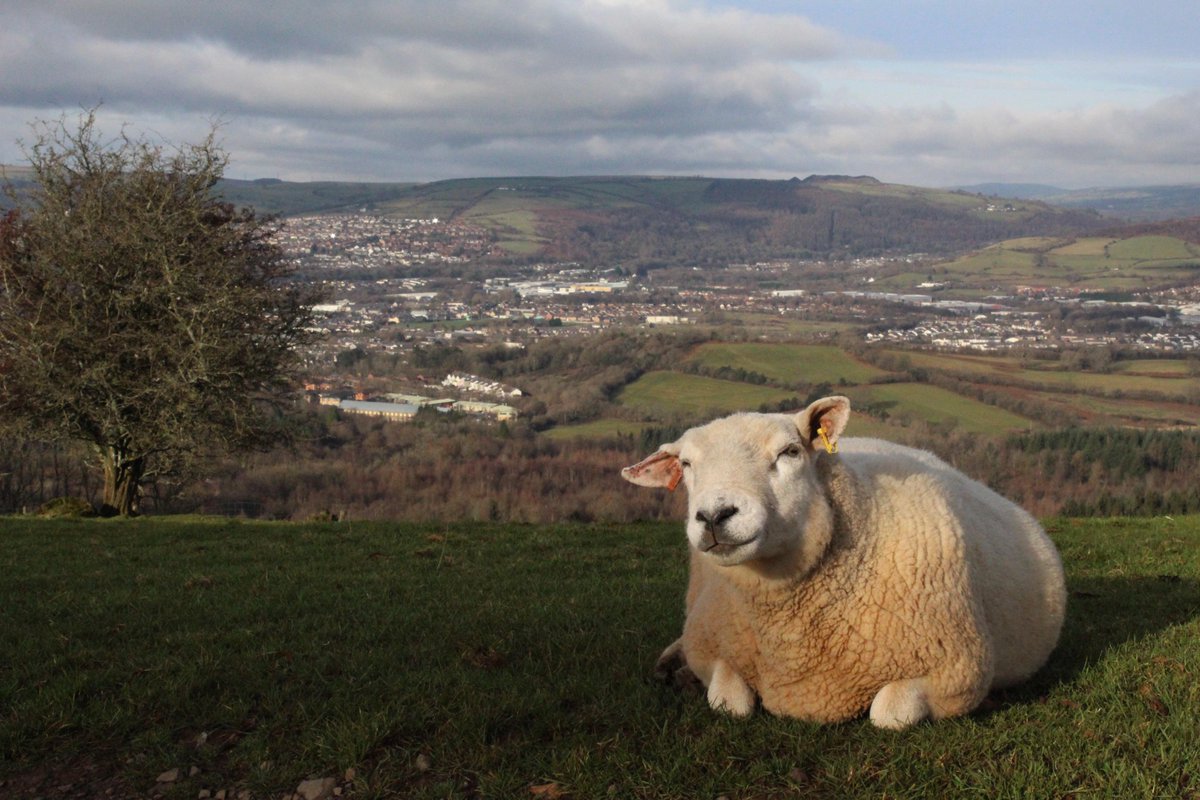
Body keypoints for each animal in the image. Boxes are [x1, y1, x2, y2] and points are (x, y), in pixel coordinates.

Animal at [621, 395, 1066, 729]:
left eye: (790, 451)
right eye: (686, 465)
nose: (715, 515)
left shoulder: (955, 674)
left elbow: (887, 714)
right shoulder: (709, 648)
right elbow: (730, 703)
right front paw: (692, 680)